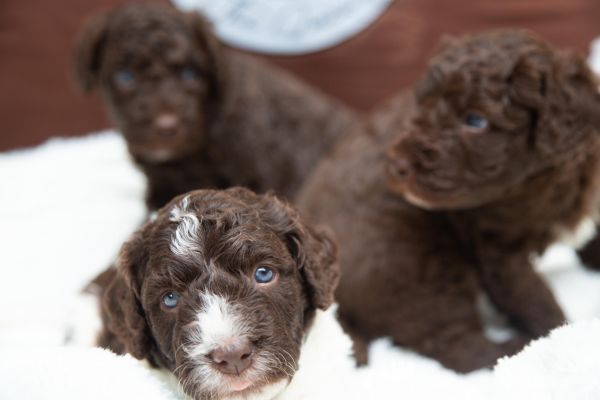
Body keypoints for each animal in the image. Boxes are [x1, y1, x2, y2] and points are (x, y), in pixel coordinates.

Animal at [298, 30, 600, 372]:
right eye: (421, 104)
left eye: (475, 120)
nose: (397, 163)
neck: (543, 182)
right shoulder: (498, 249)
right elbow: (534, 299)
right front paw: (558, 335)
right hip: (420, 268)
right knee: (454, 345)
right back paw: (514, 348)